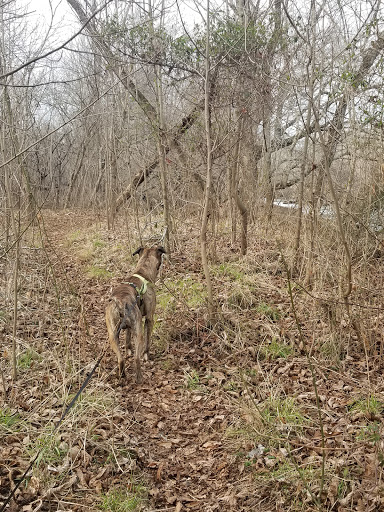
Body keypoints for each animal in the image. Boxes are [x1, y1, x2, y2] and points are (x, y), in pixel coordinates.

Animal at [106, 246, 166, 382]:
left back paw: (122, 375)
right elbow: (147, 342)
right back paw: (139, 378)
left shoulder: (129, 326)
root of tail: (120, 302)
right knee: (137, 359)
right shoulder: (149, 319)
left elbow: (127, 339)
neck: (142, 271)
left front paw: (128, 350)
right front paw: (147, 356)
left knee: (120, 359)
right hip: (138, 332)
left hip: (113, 335)